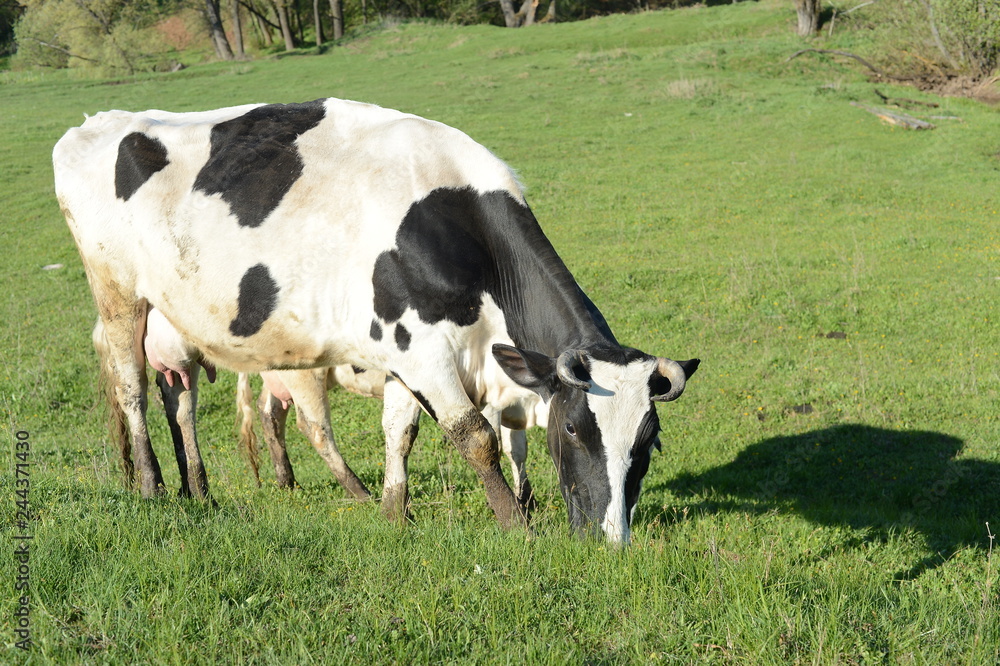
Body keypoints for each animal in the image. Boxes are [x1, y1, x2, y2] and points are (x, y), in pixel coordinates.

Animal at [54, 97, 696, 540]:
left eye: (650, 442)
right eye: (573, 430)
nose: (610, 538)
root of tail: (95, 123)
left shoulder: (403, 351)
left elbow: (400, 430)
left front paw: (393, 510)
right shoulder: (420, 347)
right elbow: (476, 437)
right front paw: (518, 526)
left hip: (174, 324)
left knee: (179, 399)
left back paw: (199, 490)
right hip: (117, 293)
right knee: (132, 388)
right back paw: (151, 487)